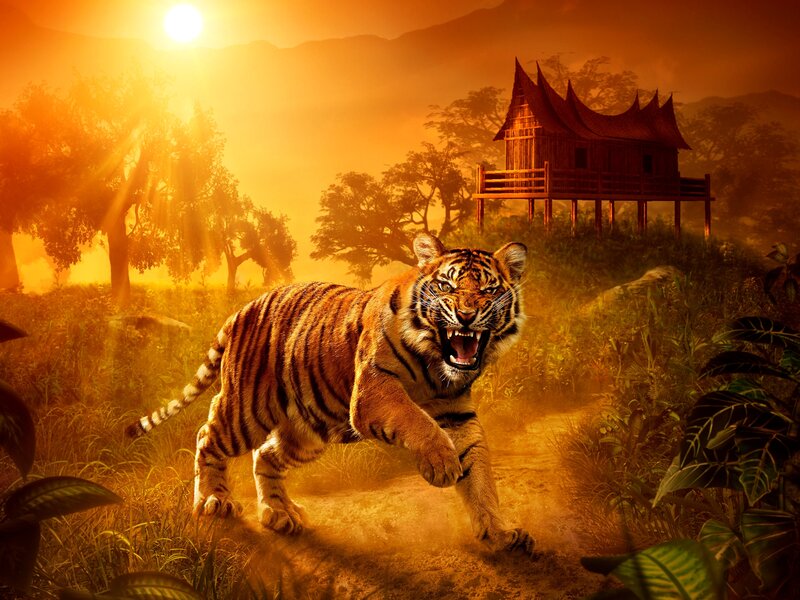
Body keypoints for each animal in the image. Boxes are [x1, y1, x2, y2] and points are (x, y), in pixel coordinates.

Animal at [126, 232, 534, 554]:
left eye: (489, 290)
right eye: (447, 287)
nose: (465, 316)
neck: (436, 366)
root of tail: (243, 309)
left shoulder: (457, 414)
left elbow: (480, 475)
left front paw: (500, 533)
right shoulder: (374, 390)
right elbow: (415, 418)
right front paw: (442, 464)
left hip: (308, 429)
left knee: (265, 455)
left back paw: (280, 513)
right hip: (247, 410)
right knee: (207, 434)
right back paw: (214, 501)